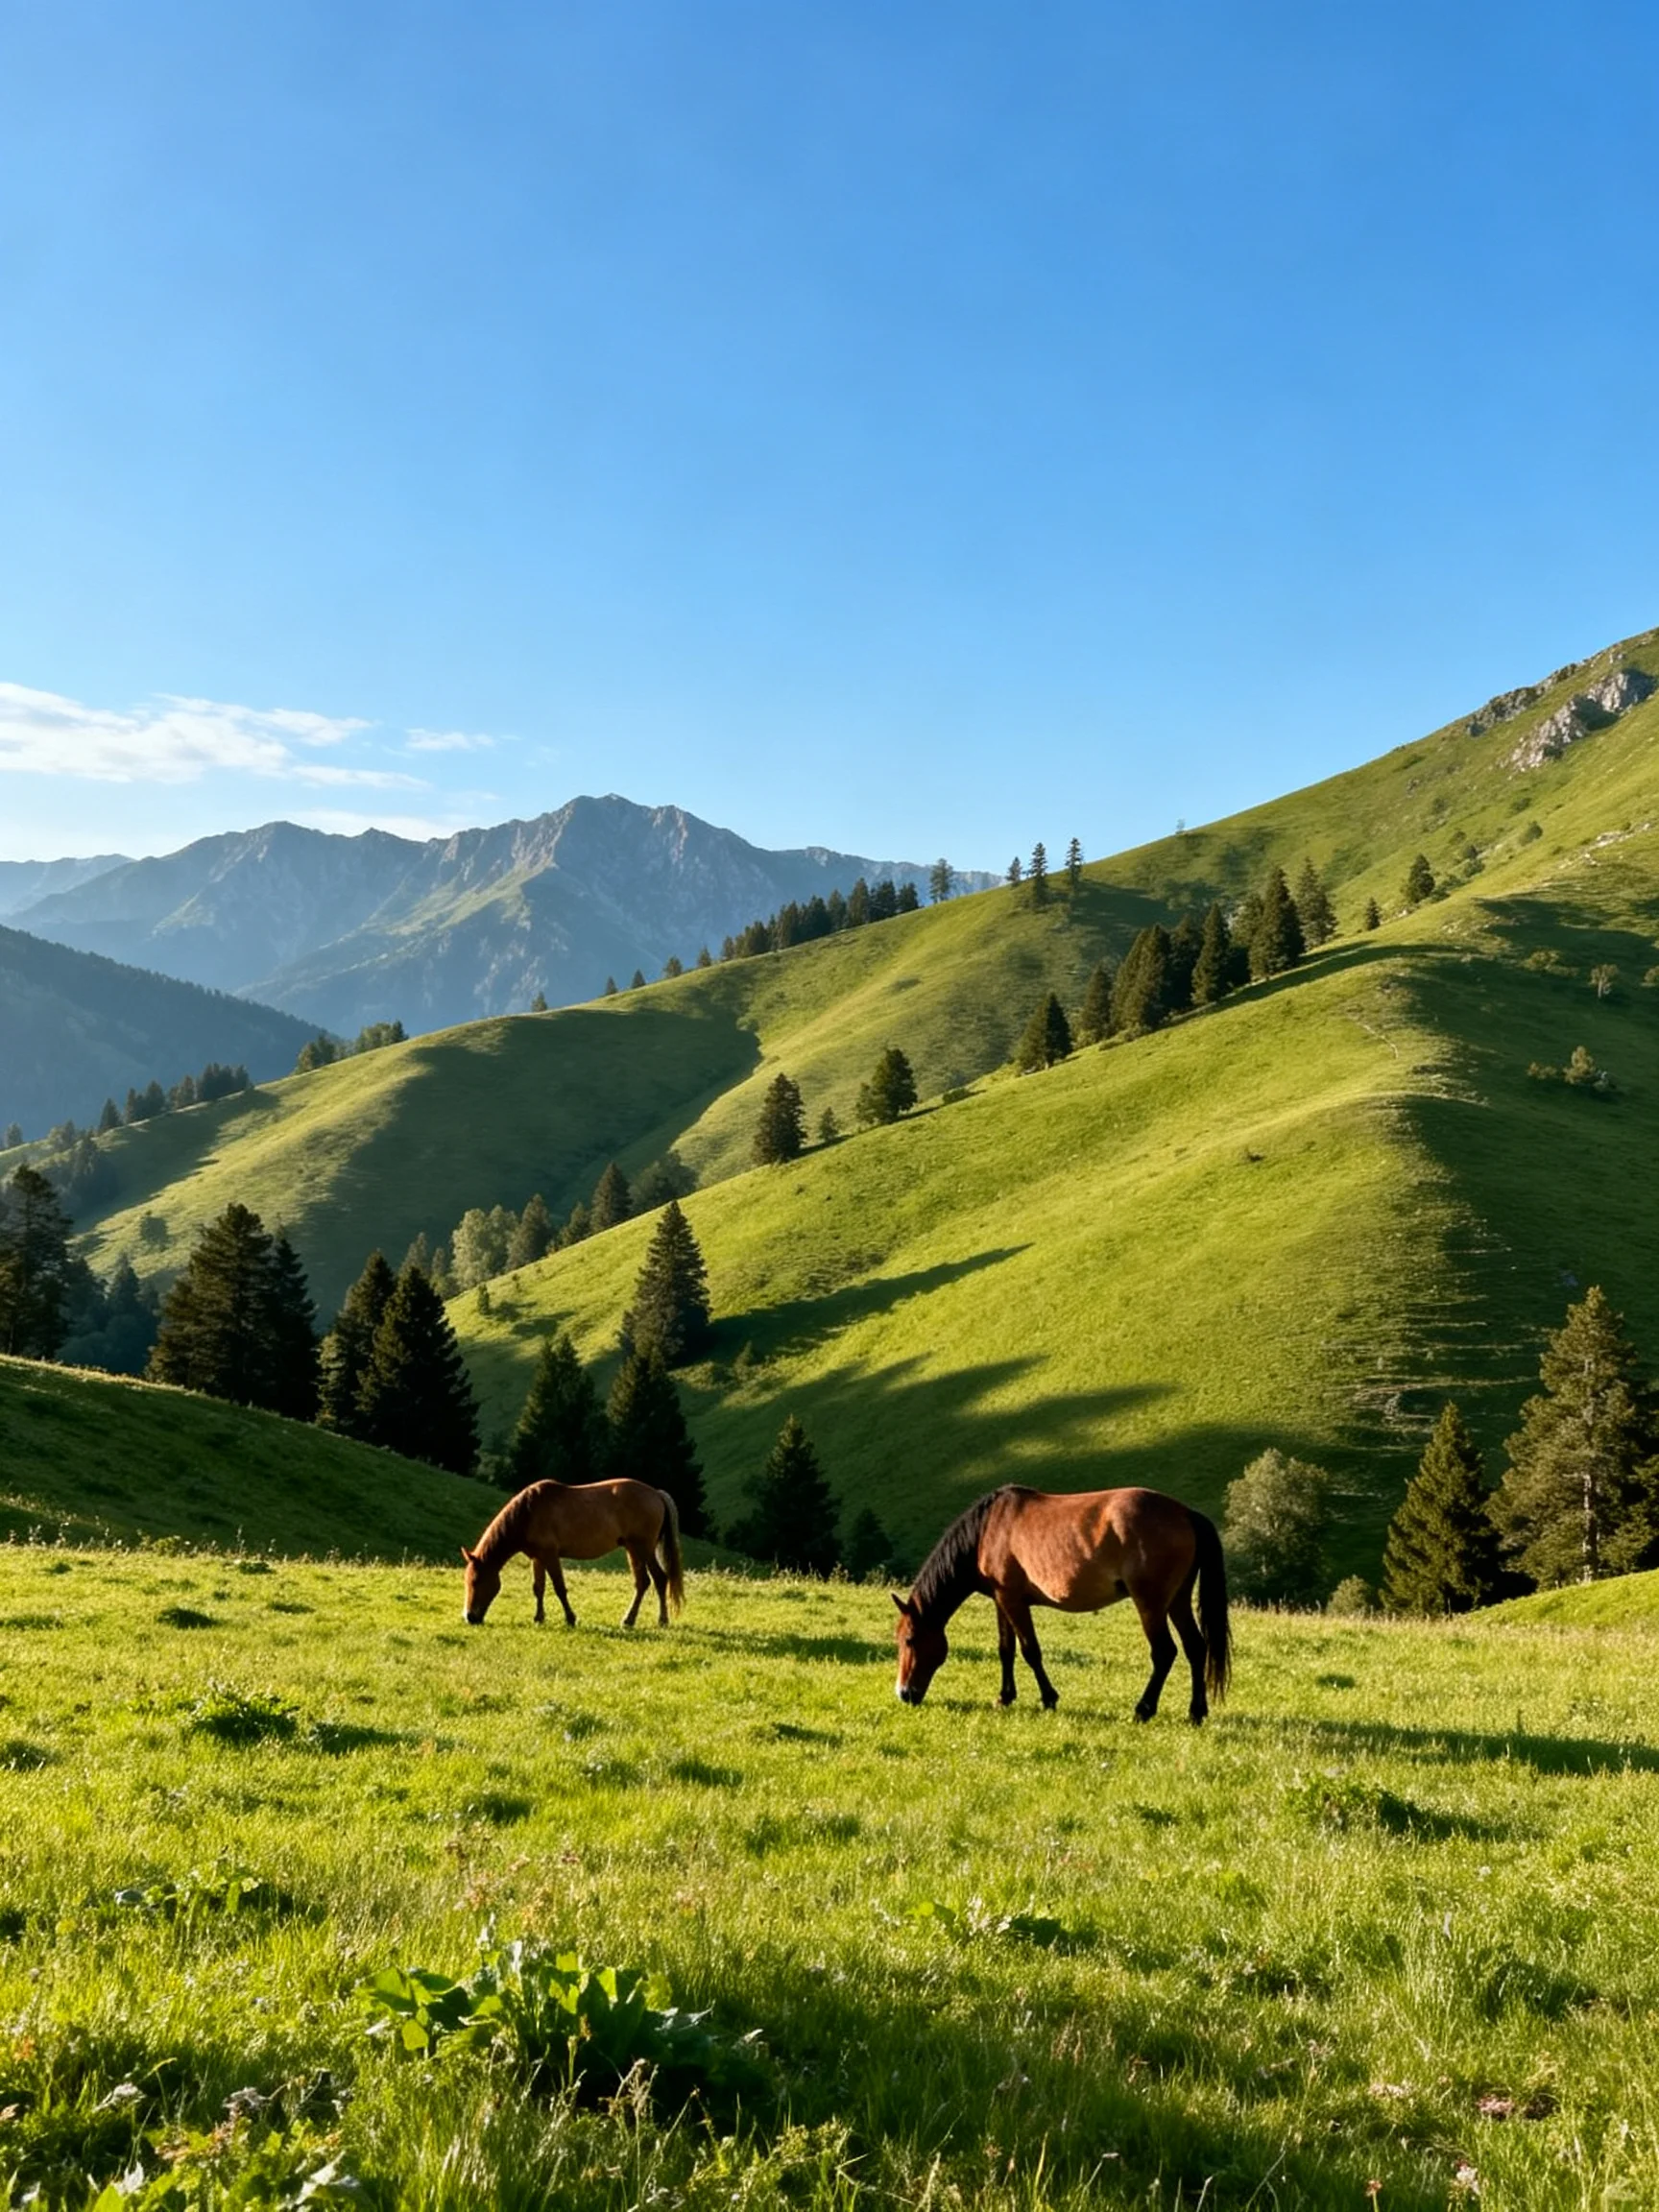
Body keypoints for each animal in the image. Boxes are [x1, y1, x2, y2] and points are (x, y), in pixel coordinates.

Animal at [461, 1479, 684, 1628]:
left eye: (476, 1581)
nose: (469, 1617)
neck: (528, 1513)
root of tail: (656, 1494)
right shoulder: (537, 1558)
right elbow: (538, 1588)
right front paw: (539, 1618)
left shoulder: (550, 1555)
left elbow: (559, 1588)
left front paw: (570, 1618)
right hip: (634, 1549)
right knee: (646, 1582)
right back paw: (637, 1620)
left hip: (642, 1548)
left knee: (655, 1579)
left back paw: (653, 1620)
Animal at [892, 1484, 1230, 1723]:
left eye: (909, 1639)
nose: (904, 1693)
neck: (987, 1530)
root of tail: (1186, 1514)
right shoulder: (1002, 1601)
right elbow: (1006, 1650)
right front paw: (1005, 1697)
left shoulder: (1013, 1600)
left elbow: (1030, 1651)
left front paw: (1048, 1698)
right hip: (1177, 1600)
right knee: (1195, 1647)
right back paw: (1196, 1712)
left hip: (1150, 1602)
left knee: (1164, 1652)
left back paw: (1144, 1709)